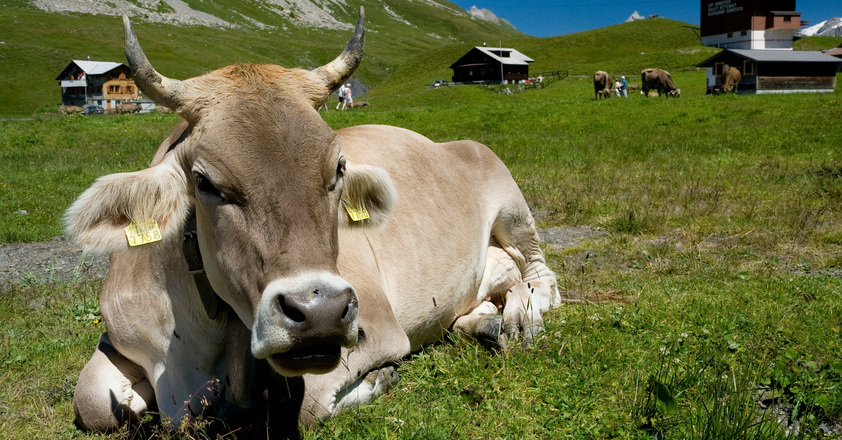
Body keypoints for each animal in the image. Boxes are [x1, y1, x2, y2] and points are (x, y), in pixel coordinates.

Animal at [67, 9, 559, 437]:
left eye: (338, 168)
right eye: (205, 182)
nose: (320, 312)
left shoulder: (373, 327)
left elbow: (310, 406)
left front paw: (381, 378)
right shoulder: (118, 337)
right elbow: (91, 402)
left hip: (511, 202)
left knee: (540, 276)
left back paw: (522, 316)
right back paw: (488, 321)